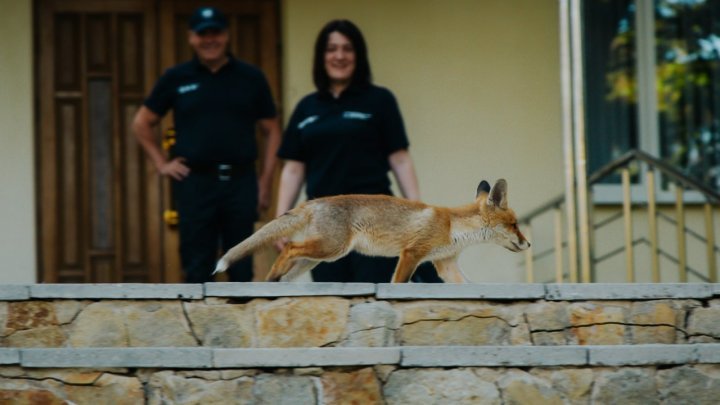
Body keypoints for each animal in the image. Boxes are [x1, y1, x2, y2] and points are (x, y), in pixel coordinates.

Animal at [212, 178, 528, 282]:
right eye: (514, 224)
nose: (528, 244)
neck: (453, 227)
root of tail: (314, 202)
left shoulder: (445, 264)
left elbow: (469, 286)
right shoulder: (411, 254)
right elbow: (398, 284)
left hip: (316, 258)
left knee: (290, 265)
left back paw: (274, 283)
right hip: (331, 250)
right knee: (289, 247)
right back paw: (272, 278)